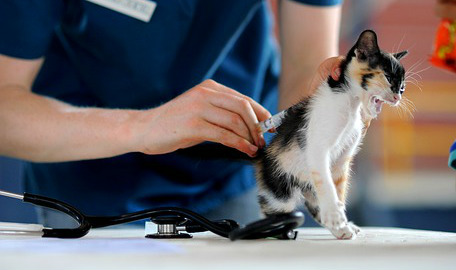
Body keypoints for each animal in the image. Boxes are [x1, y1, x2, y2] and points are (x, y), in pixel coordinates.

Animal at [256, 30, 410, 239]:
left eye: (402, 86)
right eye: (387, 76)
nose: (398, 96)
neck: (349, 103)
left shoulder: (342, 159)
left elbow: (338, 189)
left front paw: (341, 222)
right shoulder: (317, 149)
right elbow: (326, 183)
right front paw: (336, 216)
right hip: (280, 189)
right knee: (273, 210)